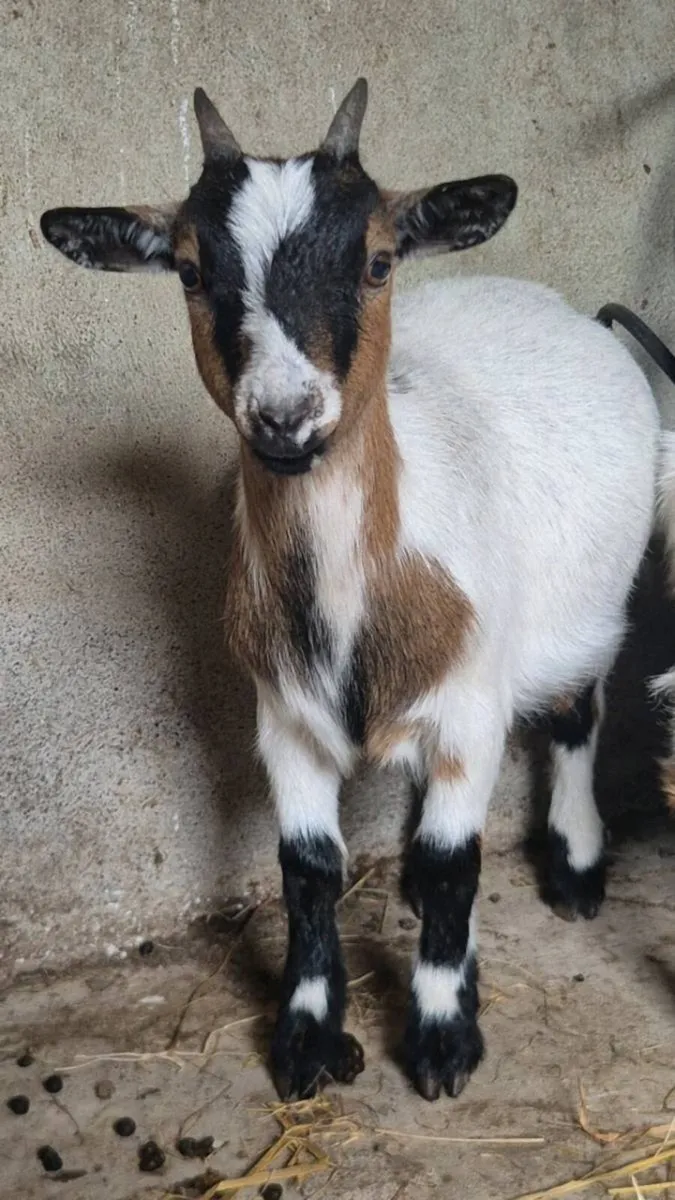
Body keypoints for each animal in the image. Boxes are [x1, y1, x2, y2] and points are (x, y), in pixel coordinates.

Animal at [41, 80, 669, 1103]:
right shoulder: (284, 719)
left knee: (578, 712)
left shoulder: (470, 707)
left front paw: (443, 1038)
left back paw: (575, 867)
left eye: (376, 261)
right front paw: (306, 1037)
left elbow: (456, 867)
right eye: (188, 270)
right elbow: (307, 872)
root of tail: (565, 309)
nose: (285, 419)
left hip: (584, 616)